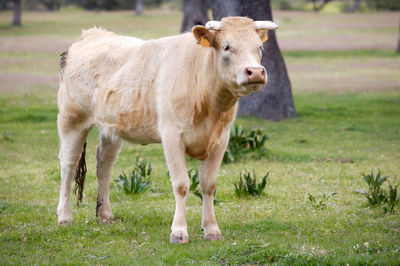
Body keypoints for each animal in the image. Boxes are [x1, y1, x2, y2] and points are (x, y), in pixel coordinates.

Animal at [56, 16, 278, 244]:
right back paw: (65, 216)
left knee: (104, 164)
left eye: (259, 47)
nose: (255, 72)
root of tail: (92, 33)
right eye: (227, 46)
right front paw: (179, 232)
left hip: (112, 128)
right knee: (68, 164)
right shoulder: (172, 135)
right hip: (72, 119)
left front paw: (212, 229)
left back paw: (105, 214)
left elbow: (208, 185)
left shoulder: (221, 139)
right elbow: (181, 184)